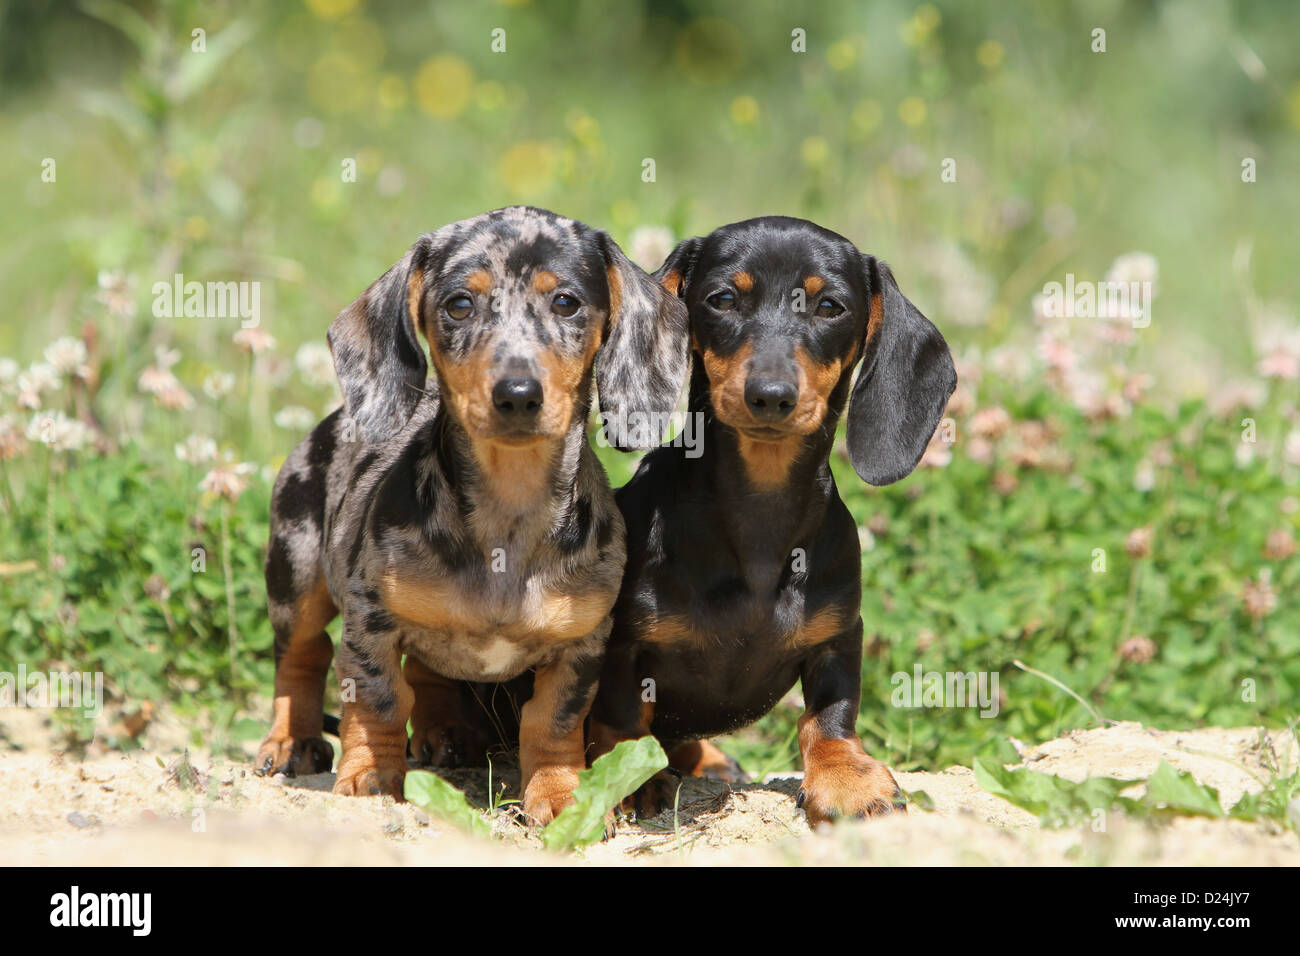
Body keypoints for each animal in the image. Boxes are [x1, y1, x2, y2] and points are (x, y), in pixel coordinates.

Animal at [590, 214, 956, 822]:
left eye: (830, 306)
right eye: (721, 299)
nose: (770, 395)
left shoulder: (839, 636)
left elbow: (829, 715)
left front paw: (847, 778)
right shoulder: (621, 644)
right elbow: (620, 716)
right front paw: (631, 776)